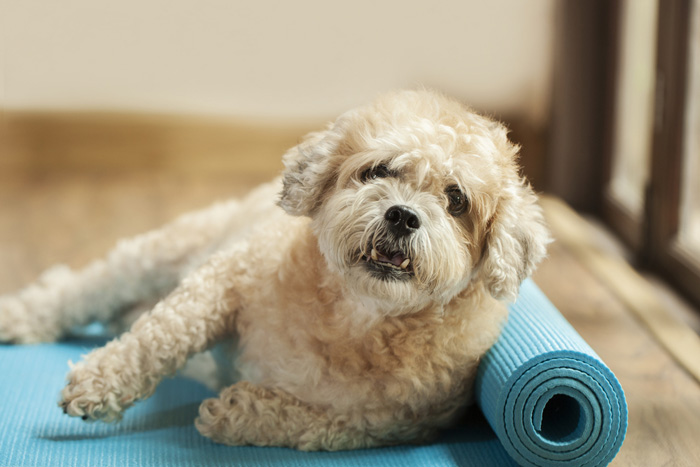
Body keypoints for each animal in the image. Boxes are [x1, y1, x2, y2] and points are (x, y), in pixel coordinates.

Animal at [0, 89, 548, 452]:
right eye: (378, 171)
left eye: (457, 201)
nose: (402, 215)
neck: (357, 316)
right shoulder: (222, 282)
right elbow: (159, 337)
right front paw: (97, 384)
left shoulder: (388, 423)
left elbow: (307, 425)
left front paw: (234, 412)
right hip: (162, 252)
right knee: (82, 291)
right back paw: (24, 316)